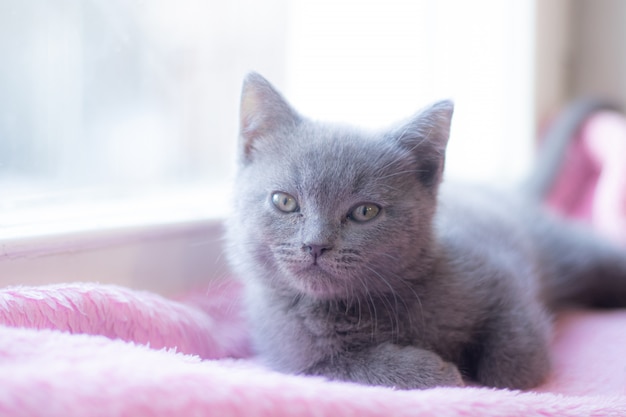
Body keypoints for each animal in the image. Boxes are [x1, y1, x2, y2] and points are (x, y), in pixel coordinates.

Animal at [227, 72, 624, 390]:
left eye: (365, 212)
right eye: (284, 202)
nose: (315, 245)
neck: (365, 305)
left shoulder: (501, 275)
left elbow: (514, 358)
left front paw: (494, 371)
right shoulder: (300, 356)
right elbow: (351, 365)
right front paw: (437, 371)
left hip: (569, 249)